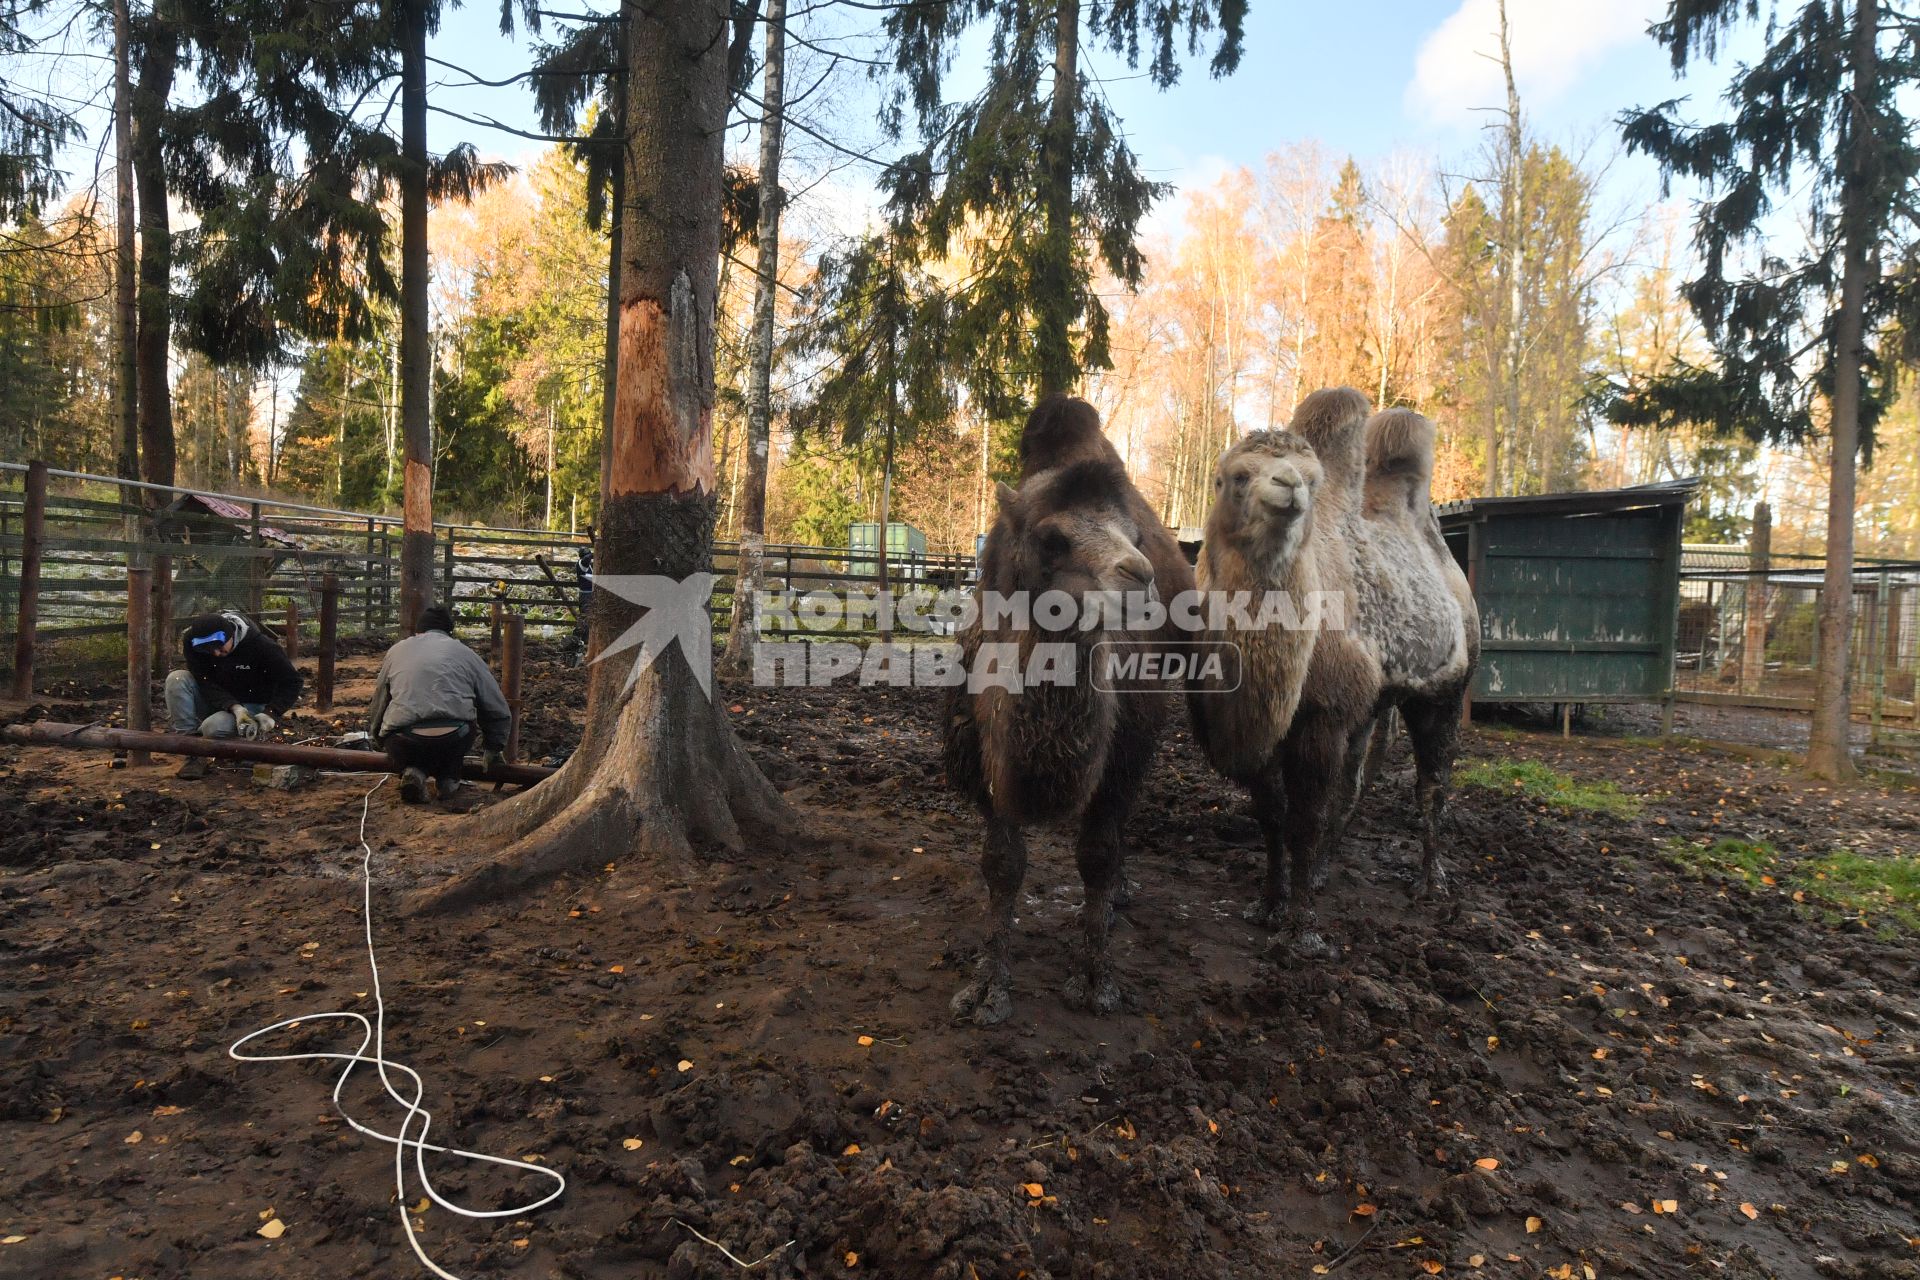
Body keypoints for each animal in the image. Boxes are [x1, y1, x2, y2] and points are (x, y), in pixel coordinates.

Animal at [940, 395, 1190, 1028]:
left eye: (1136, 536)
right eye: (1052, 538)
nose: (1142, 578)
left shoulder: (1124, 758)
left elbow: (1097, 854)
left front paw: (1098, 977)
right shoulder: (985, 769)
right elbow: (1002, 864)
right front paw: (988, 986)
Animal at [1182, 391, 1482, 940]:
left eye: (1311, 477)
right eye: (1235, 476)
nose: (1288, 487)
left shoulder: (1321, 716)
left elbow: (1305, 819)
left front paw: (1301, 926)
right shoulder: (1268, 726)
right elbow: (1272, 816)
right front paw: (1269, 904)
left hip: (1445, 690)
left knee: (1432, 782)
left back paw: (1431, 882)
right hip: (1374, 702)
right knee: (1355, 783)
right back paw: (1324, 870)